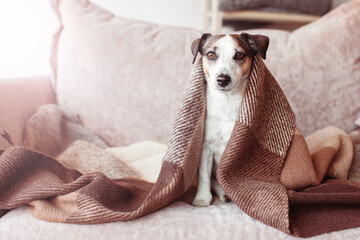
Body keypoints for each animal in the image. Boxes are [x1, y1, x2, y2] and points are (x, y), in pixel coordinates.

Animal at [190, 32, 268, 207]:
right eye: (211, 54)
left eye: (239, 55)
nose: (223, 79)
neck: (227, 103)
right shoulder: (206, 147)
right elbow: (204, 175)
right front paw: (202, 199)